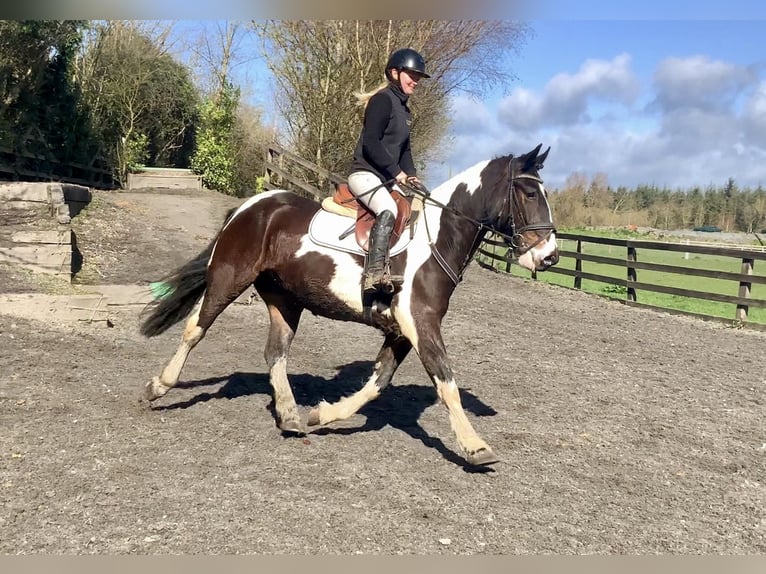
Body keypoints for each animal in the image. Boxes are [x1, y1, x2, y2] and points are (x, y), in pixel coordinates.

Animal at [139, 143, 559, 468]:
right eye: (530, 194)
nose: (549, 256)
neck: (435, 241)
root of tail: (250, 207)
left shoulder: (401, 331)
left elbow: (377, 384)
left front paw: (323, 414)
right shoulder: (421, 323)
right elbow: (446, 383)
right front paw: (475, 446)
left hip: (284, 300)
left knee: (275, 352)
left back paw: (290, 417)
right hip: (229, 279)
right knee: (196, 328)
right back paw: (158, 386)